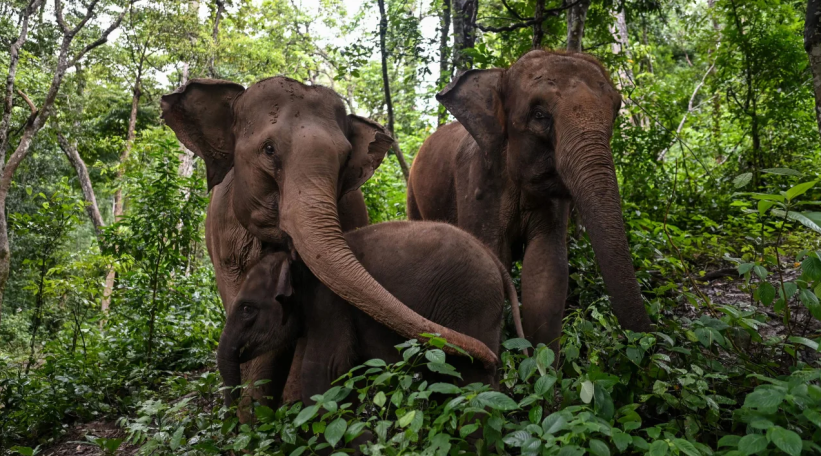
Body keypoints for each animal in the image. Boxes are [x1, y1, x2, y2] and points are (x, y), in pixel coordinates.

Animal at [217, 220, 523, 408]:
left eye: (246, 309)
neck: (298, 262)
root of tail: (494, 259)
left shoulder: (330, 304)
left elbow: (322, 372)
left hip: (471, 303)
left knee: (473, 381)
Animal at [406, 50, 653, 351]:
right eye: (539, 115)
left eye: (616, 110)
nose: (648, 341)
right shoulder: (477, 183)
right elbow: (491, 257)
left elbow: (547, 267)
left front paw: (541, 360)